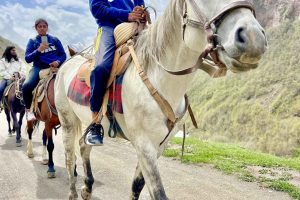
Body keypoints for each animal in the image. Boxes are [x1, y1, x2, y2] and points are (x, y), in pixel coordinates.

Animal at [55, 0, 266, 198]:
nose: (253, 38)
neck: (159, 78)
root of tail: (68, 62)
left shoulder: (159, 146)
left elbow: (137, 186)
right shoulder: (144, 144)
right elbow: (158, 192)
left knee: (83, 145)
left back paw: (87, 187)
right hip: (67, 121)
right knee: (69, 158)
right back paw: (73, 192)